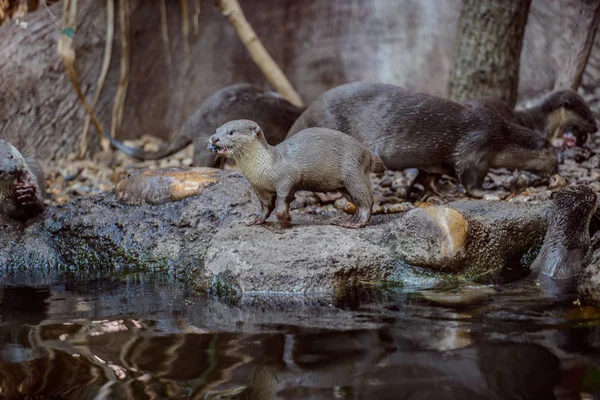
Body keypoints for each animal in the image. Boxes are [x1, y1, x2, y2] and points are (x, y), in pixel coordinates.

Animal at [207, 119, 384, 228]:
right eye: (216, 130)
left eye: (230, 132)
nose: (213, 138)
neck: (262, 167)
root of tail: (366, 151)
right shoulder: (259, 188)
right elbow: (265, 207)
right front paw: (255, 219)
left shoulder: (286, 179)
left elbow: (282, 202)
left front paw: (286, 220)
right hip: (344, 186)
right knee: (358, 202)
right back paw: (348, 219)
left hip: (354, 173)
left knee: (367, 200)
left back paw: (356, 223)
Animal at [286, 82, 556, 198]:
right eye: (554, 155)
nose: (557, 169)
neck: (502, 137)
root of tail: (305, 114)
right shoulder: (477, 147)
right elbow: (471, 178)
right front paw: (489, 193)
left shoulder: (435, 161)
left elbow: (429, 177)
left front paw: (440, 191)